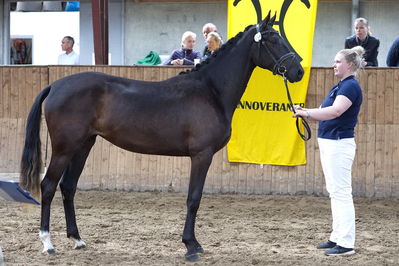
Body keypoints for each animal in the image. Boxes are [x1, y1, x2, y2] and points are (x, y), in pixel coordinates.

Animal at [20, 13, 304, 262]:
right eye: (273, 39)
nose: (298, 71)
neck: (210, 90)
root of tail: (55, 85)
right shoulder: (201, 155)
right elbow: (194, 199)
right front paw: (191, 246)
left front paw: (194, 244)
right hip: (64, 149)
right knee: (48, 186)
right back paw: (47, 243)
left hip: (83, 146)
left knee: (68, 187)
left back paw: (78, 239)